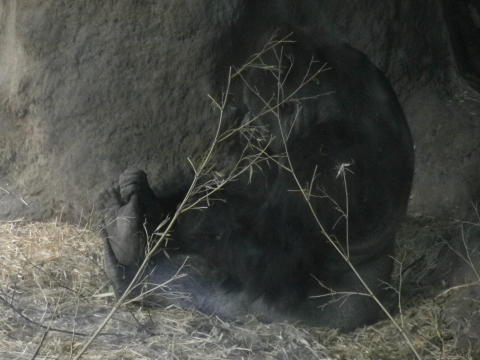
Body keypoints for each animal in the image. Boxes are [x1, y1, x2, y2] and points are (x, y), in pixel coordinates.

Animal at [96, 26, 412, 334]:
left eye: (256, 110)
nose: (246, 121)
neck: (340, 103)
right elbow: (247, 190)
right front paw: (156, 204)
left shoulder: (331, 154)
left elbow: (261, 253)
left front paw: (169, 216)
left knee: (207, 285)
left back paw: (130, 275)